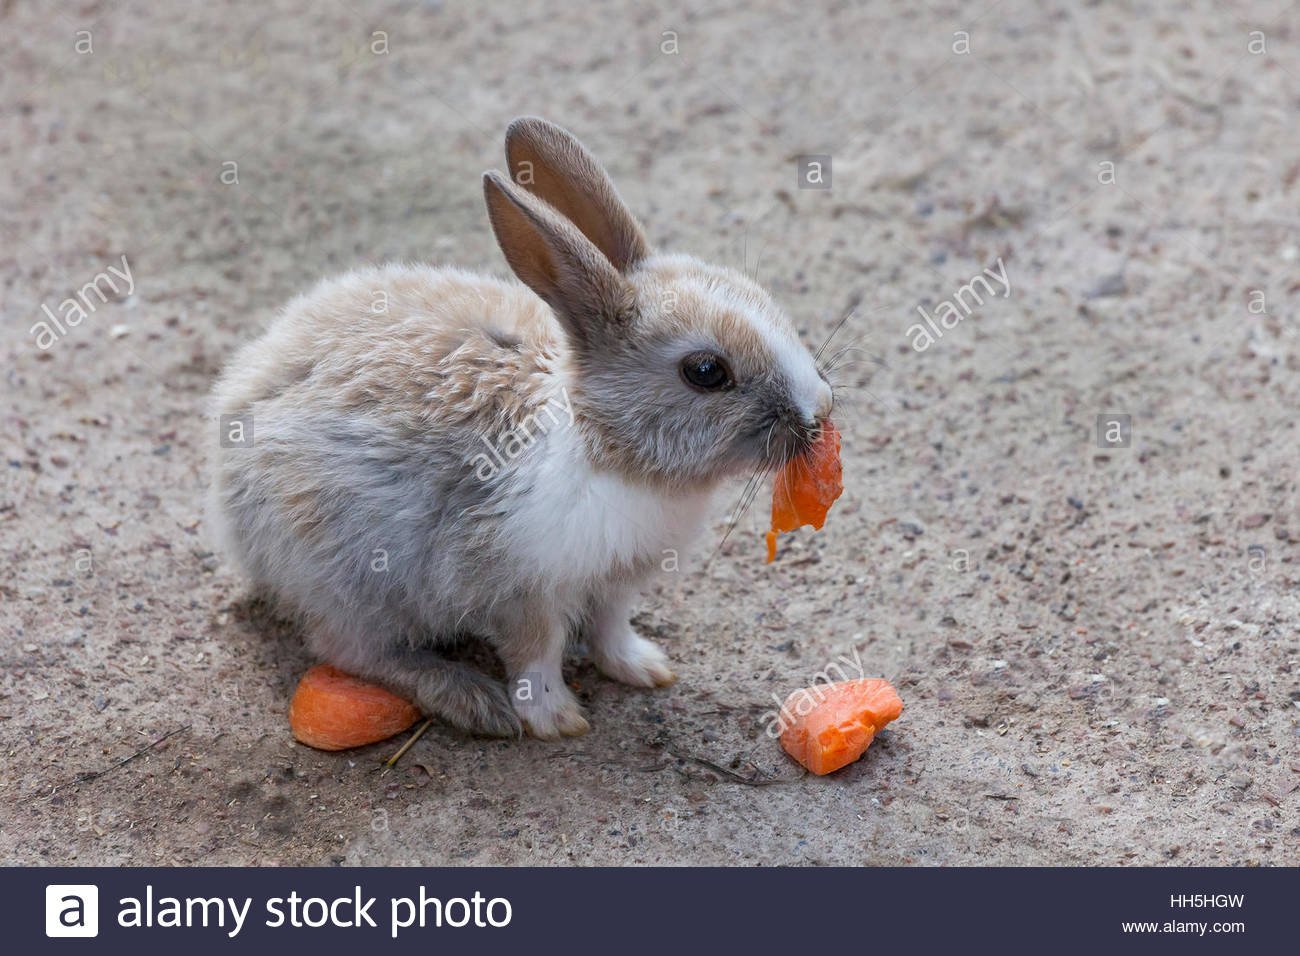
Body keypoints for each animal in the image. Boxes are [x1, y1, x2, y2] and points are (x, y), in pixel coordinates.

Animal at [204, 113, 832, 738]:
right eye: (706, 371)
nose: (819, 413)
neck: (605, 443)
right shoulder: (517, 587)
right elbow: (536, 652)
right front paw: (555, 719)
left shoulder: (616, 580)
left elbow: (610, 626)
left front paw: (644, 668)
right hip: (348, 577)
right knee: (350, 649)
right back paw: (470, 699)